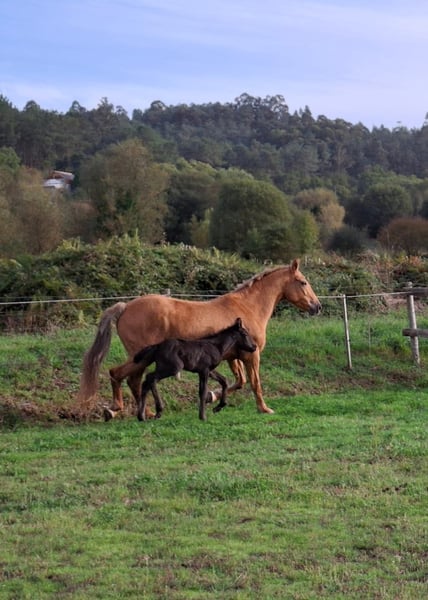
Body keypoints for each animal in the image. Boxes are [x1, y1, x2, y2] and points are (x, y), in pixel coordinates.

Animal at [77, 258, 321, 417]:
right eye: (303, 282)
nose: (317, 307)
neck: (247, 308)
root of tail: (125, 307)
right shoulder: (251, 355)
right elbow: (254, 383)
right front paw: (265, 409)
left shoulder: (233, 357)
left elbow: (239, 382)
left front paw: (211, 397)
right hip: (140, 357)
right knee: (121, 375)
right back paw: (117, 409)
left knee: (132, 380)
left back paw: (140, 411)